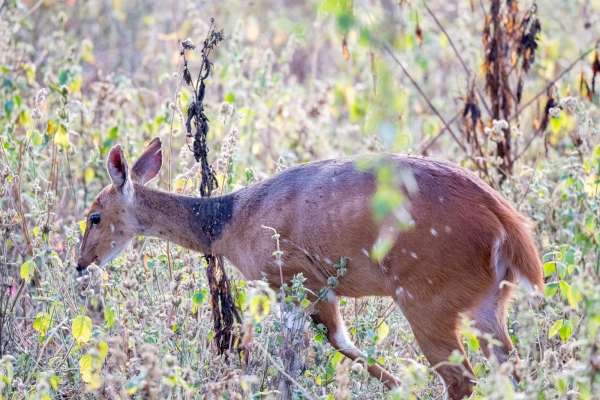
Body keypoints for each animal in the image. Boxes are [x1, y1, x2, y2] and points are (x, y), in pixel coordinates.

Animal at [76, 138, 544, 400]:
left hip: (426, 303)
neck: (231, 220)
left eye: (94, 216)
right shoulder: (317, 295)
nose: (80, 264)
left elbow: (295, 361)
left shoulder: (295, 283)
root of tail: (507, 224)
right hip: (486, 305)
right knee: (513, 368)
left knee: (462, 381)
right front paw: (395, 386)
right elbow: (342, 343)